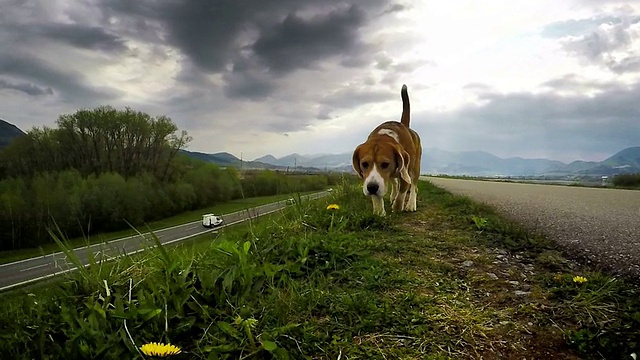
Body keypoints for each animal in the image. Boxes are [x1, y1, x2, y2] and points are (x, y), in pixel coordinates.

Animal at [352, 84, 422, 215]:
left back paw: (410, 204)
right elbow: (379, 196)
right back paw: (393, 195)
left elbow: (403, 190)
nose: (371, 188)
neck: (382, 137)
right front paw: (379, 212)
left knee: (414, 186)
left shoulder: (405, 172)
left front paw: (397, 207)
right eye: (364, 164)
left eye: (385, 164)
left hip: (415, 167)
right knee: (394, 183)